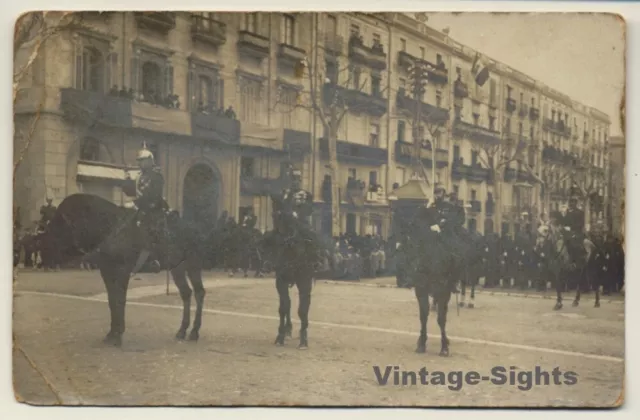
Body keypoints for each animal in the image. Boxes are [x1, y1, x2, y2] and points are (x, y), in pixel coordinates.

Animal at [40, 195, 209, 346]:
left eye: (58, 223)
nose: (45, 250)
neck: (111, 229)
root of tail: (196, 229)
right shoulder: (107, 271)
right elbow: (111, 300)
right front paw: (111, 333)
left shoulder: (122, 271)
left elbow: (120, 300)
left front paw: (118, 335)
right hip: (177, 268)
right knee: (186, 293)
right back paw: (182, 330)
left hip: (193, 264)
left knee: (199, 292)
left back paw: (194, 332)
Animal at [266, 195, 324, 350]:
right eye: (274, 215)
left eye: (289, 217)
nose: (280, 240)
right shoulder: (280, 280)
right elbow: (284, 307)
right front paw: (280, 335)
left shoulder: (304, 282)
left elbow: (302, 309)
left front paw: (303, 339)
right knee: (288, 303)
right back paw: (288, 330)